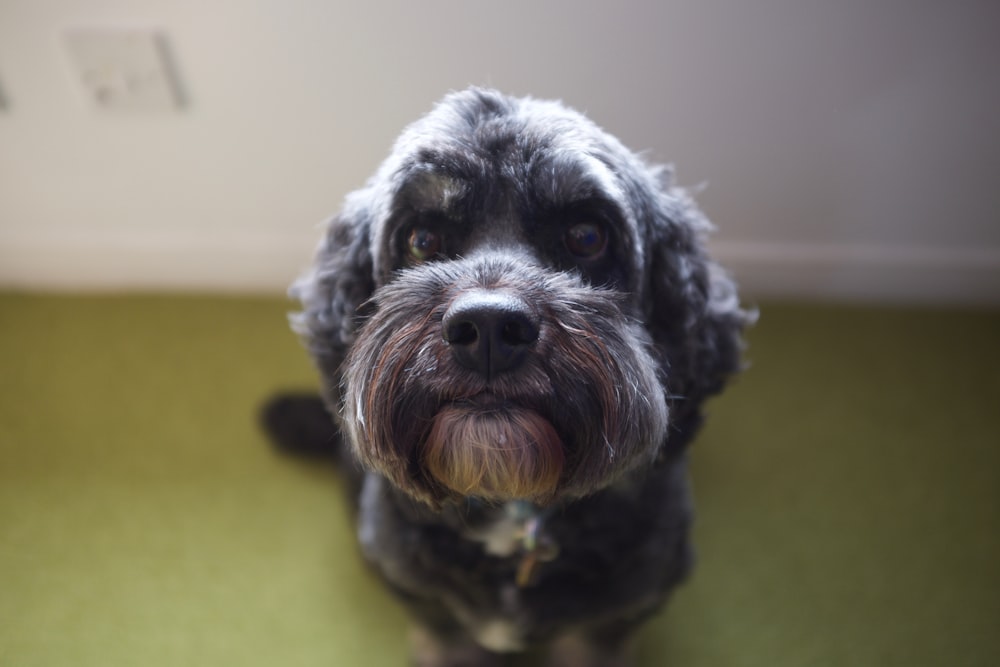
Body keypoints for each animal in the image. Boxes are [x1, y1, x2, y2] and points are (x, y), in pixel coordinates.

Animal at [262, 88, 752, 667]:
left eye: (586, 235)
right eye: (422, 238)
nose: (490, 328)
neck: (511, 511)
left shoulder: (613, 620)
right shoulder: (431, 609)